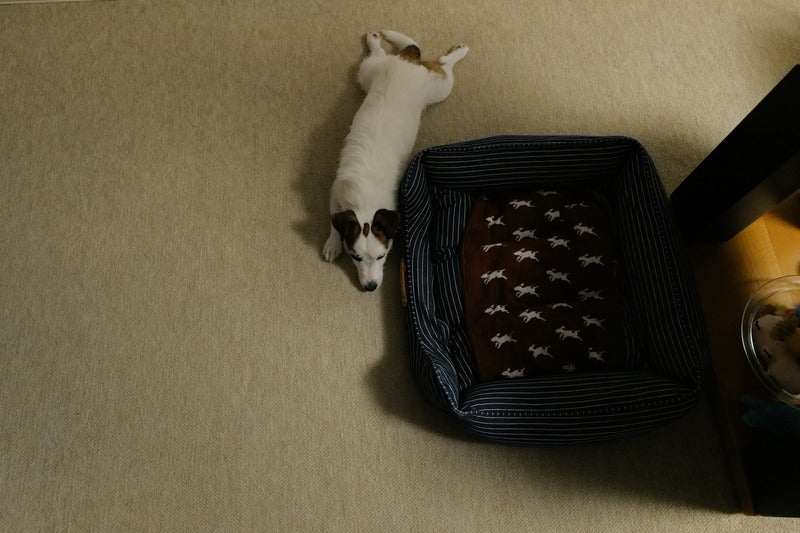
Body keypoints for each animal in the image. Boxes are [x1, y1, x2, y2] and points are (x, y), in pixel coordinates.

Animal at [322, 30, 468, 291]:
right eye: (355, 257)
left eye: (382, 256)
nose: (370, 287)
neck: (366, 198)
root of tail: (406, 62)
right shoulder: (336, 193)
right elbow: (333, 221)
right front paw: (333, 242)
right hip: (368, 73)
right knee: (382, 53)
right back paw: (374, 40)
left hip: (440, 87)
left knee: (443, 64)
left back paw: (458, 52)